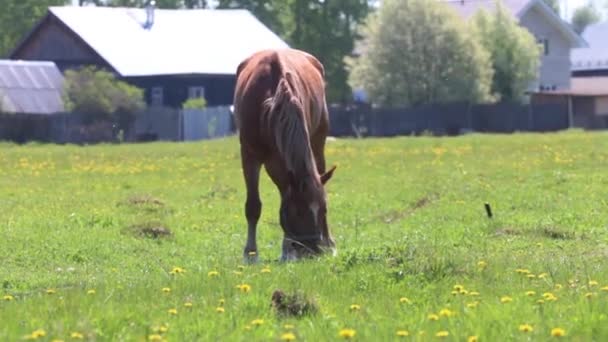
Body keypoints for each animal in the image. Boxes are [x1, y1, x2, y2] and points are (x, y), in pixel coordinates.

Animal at [234, 48, 338, 262]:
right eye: (297, 212)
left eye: (324, 209)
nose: (311, 251)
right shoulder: (249, 155)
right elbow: (253, 206)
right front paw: (250, 254)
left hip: (317, 143)